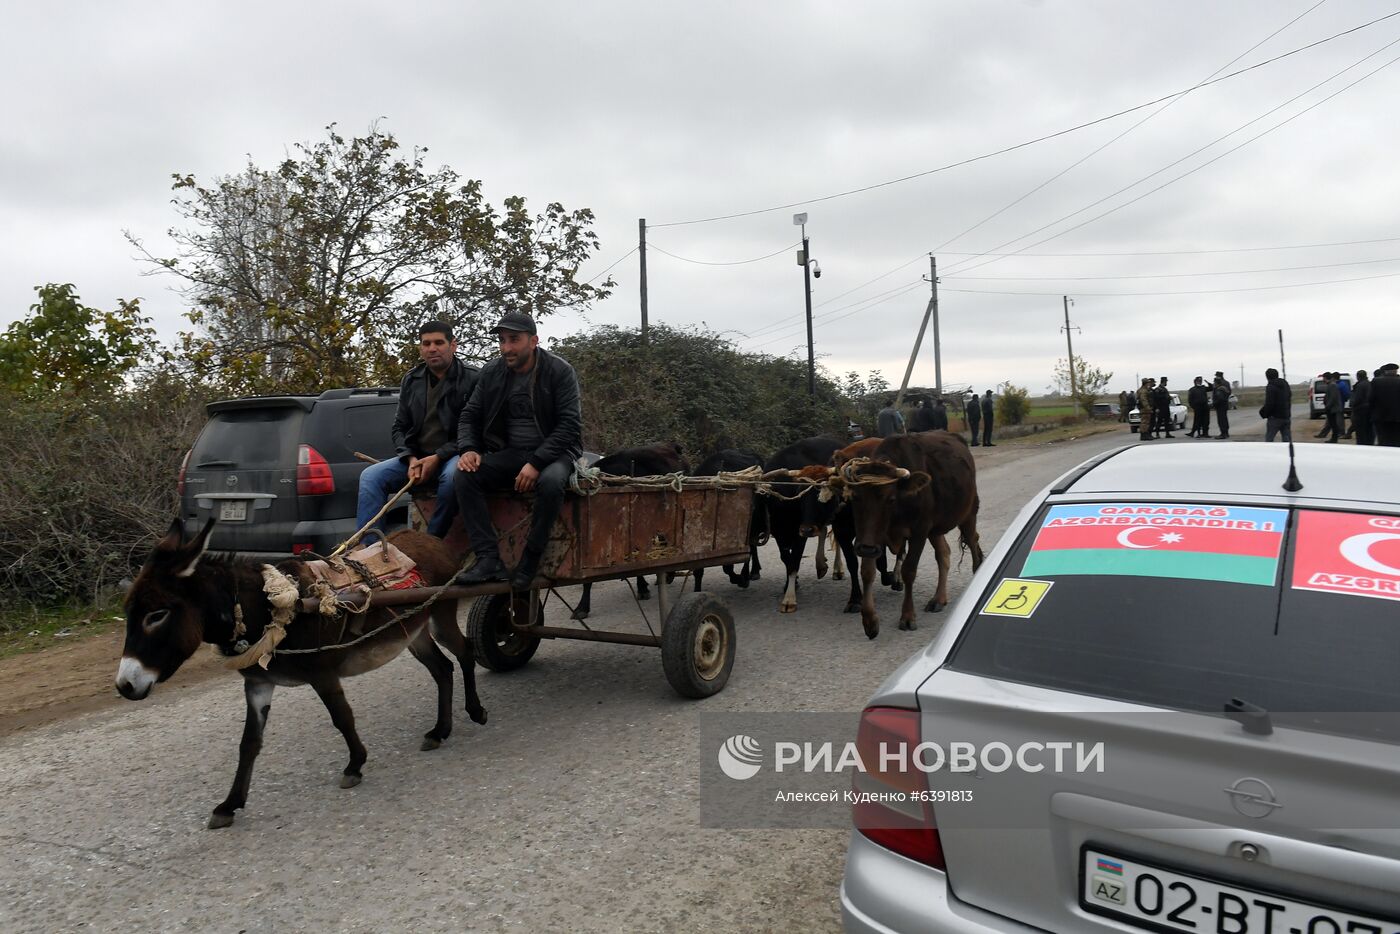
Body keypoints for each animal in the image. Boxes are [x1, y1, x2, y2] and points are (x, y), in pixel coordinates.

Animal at [767, 436, 862, 613]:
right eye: (801, 497)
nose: (807, 529)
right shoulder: (780, 534)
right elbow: (786, 559)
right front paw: (790, 585)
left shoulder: (799, 535)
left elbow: (795, 560)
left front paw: (789, 599)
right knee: (824, 532)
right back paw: (821, 565)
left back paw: (836, 569)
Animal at [828, 434, 985, 638]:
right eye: (855, 497)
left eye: (890, 499)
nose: (866, 548)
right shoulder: (872, 538)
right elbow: (867, 571)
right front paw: (869, 620)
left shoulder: (919, 532)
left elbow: (909, 571)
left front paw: (908, 616)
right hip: (935, 530)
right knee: (943, 554)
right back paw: (938, 599)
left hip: (968, 514)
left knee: (973, 542)